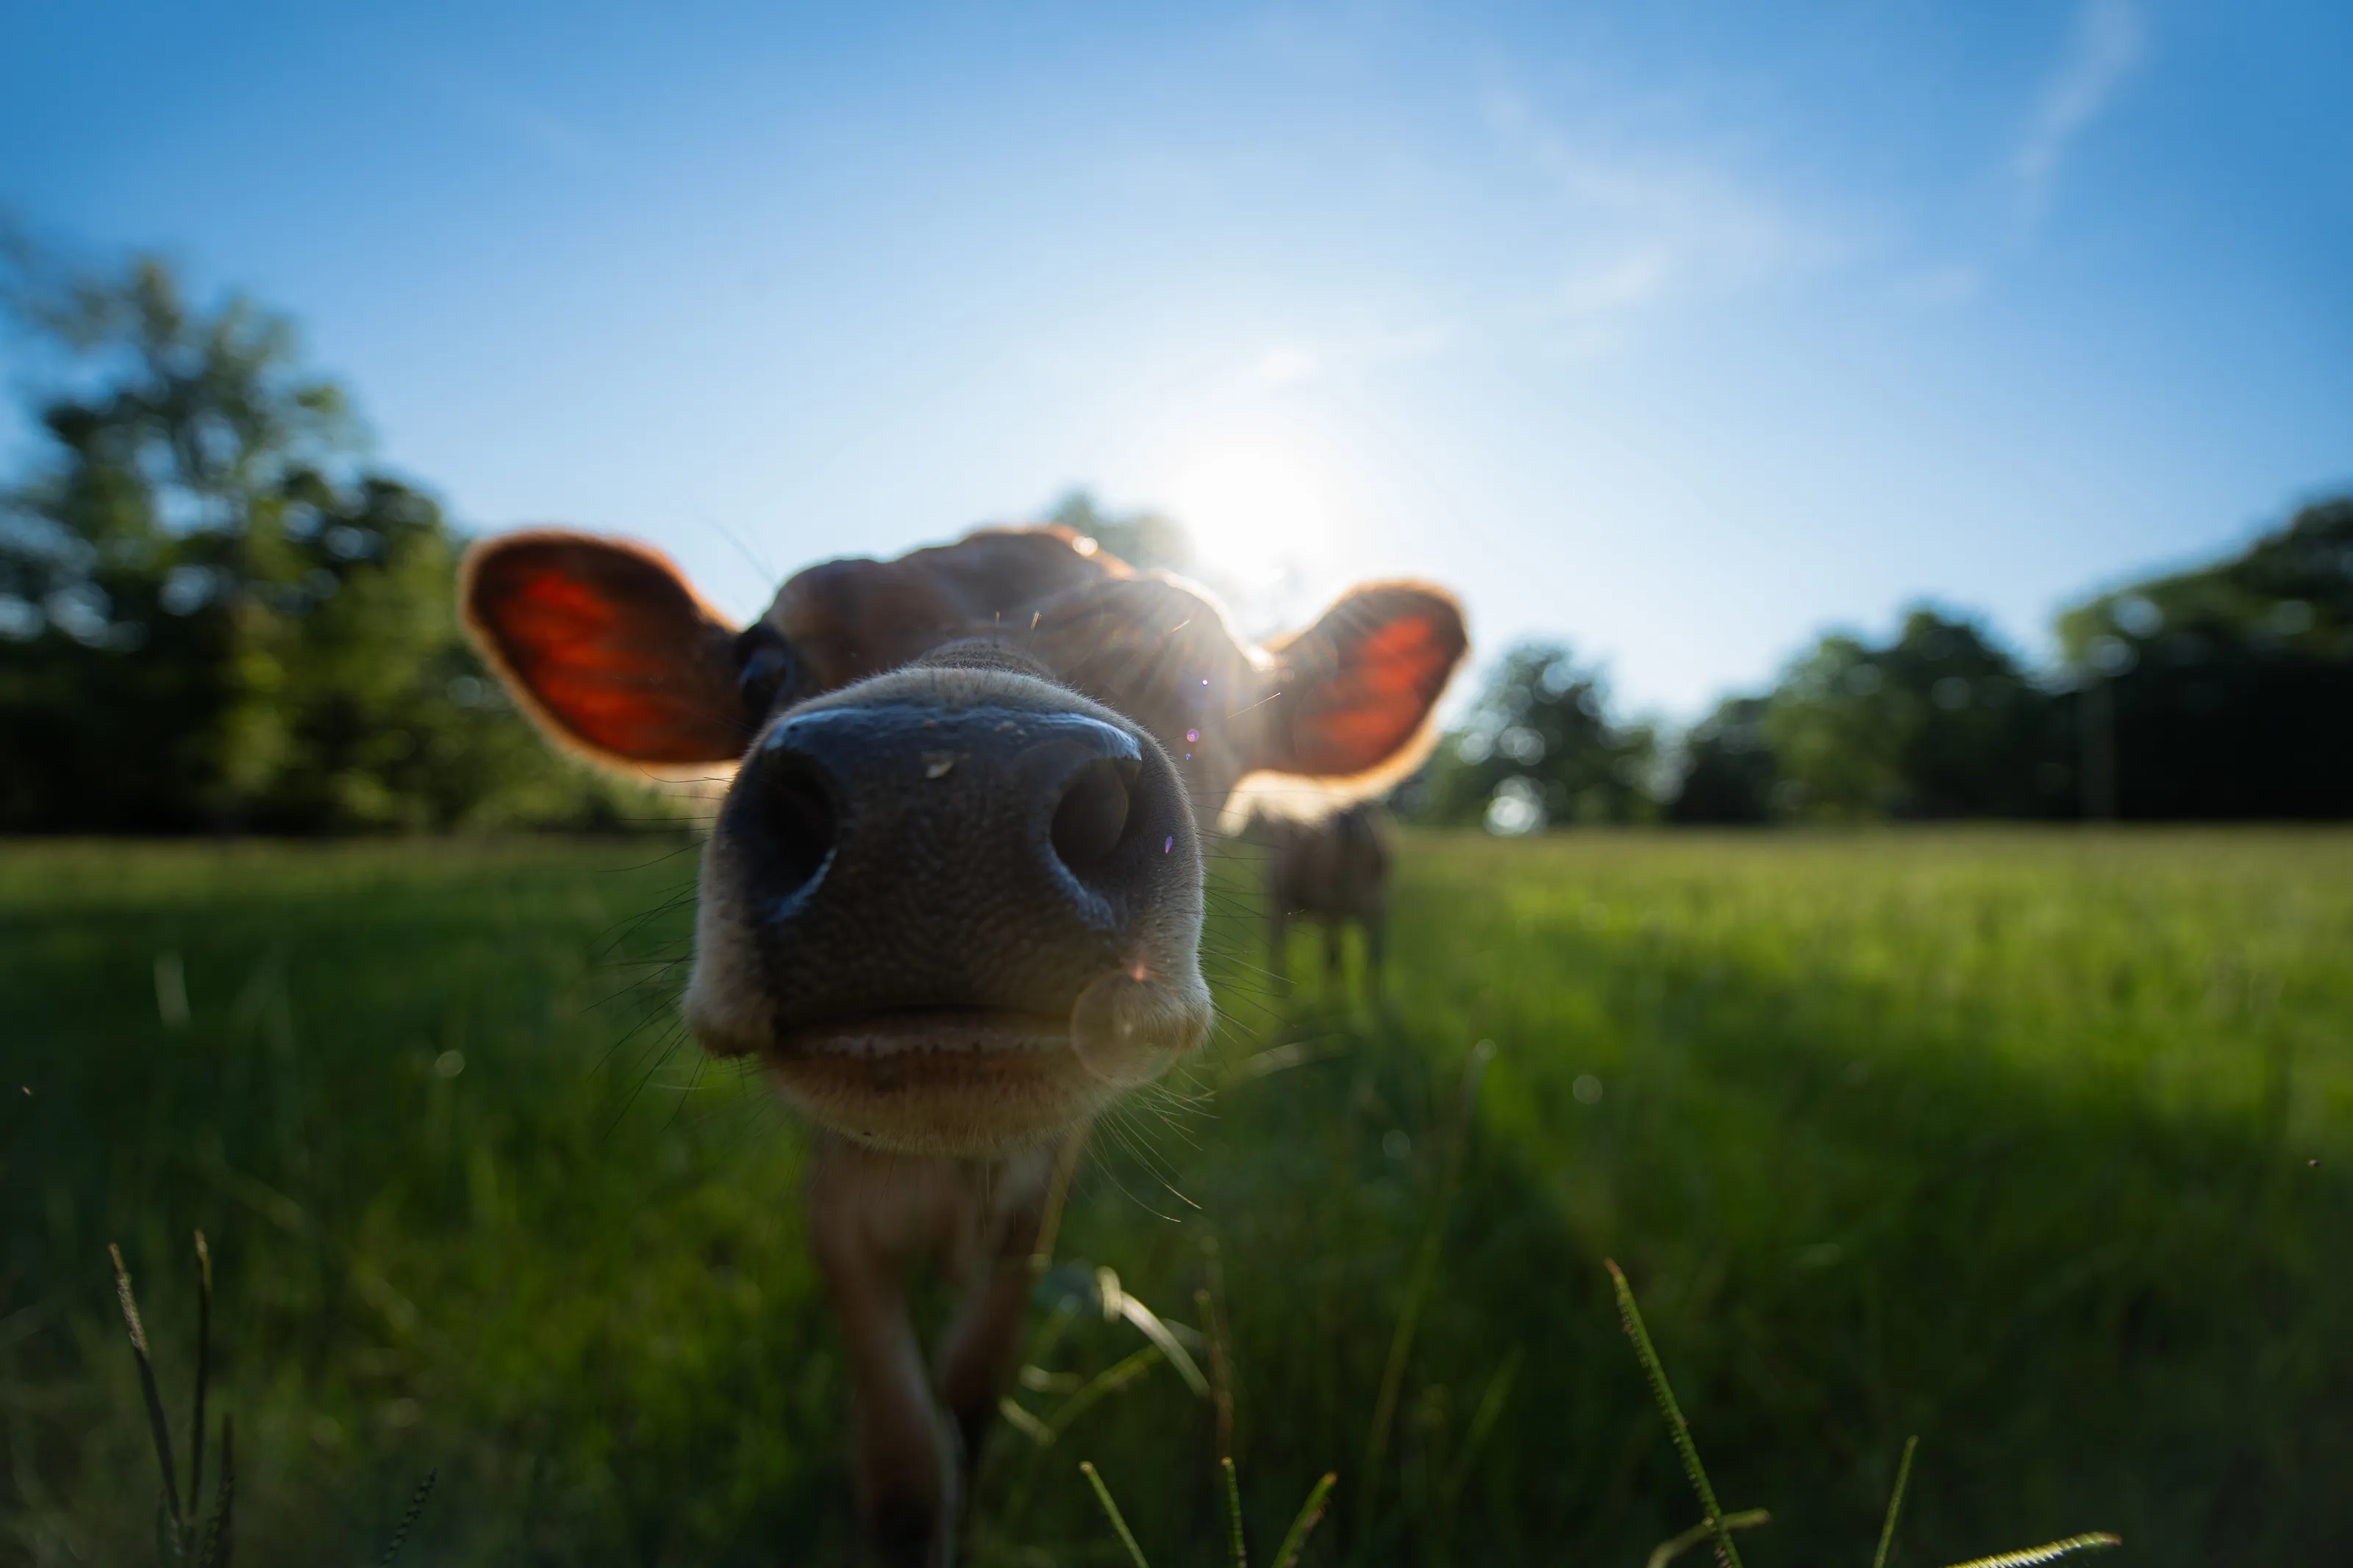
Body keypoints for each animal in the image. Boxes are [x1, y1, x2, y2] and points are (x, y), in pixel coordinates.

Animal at [1258, 803, 1391, 993]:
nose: (1346, 819)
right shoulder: (1333, 912)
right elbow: (1335, 956)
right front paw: (1336, 992)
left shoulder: (1375, 911)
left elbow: (1374, 954)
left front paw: (1372, 991)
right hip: (1279, 901)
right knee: (1277, 940)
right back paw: (1280, 982)